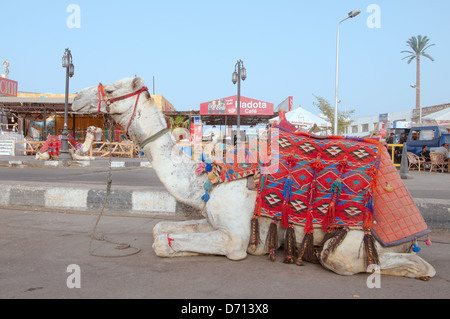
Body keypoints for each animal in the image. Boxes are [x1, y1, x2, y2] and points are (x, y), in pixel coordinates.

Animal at [73, 77, 436, 280]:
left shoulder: (234, 236)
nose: (76, 98)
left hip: (355, 238)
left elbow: (164, 242)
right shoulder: (213, 219)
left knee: (357, 261)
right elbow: (160, 229)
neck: (206, 179)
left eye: (111, 87)